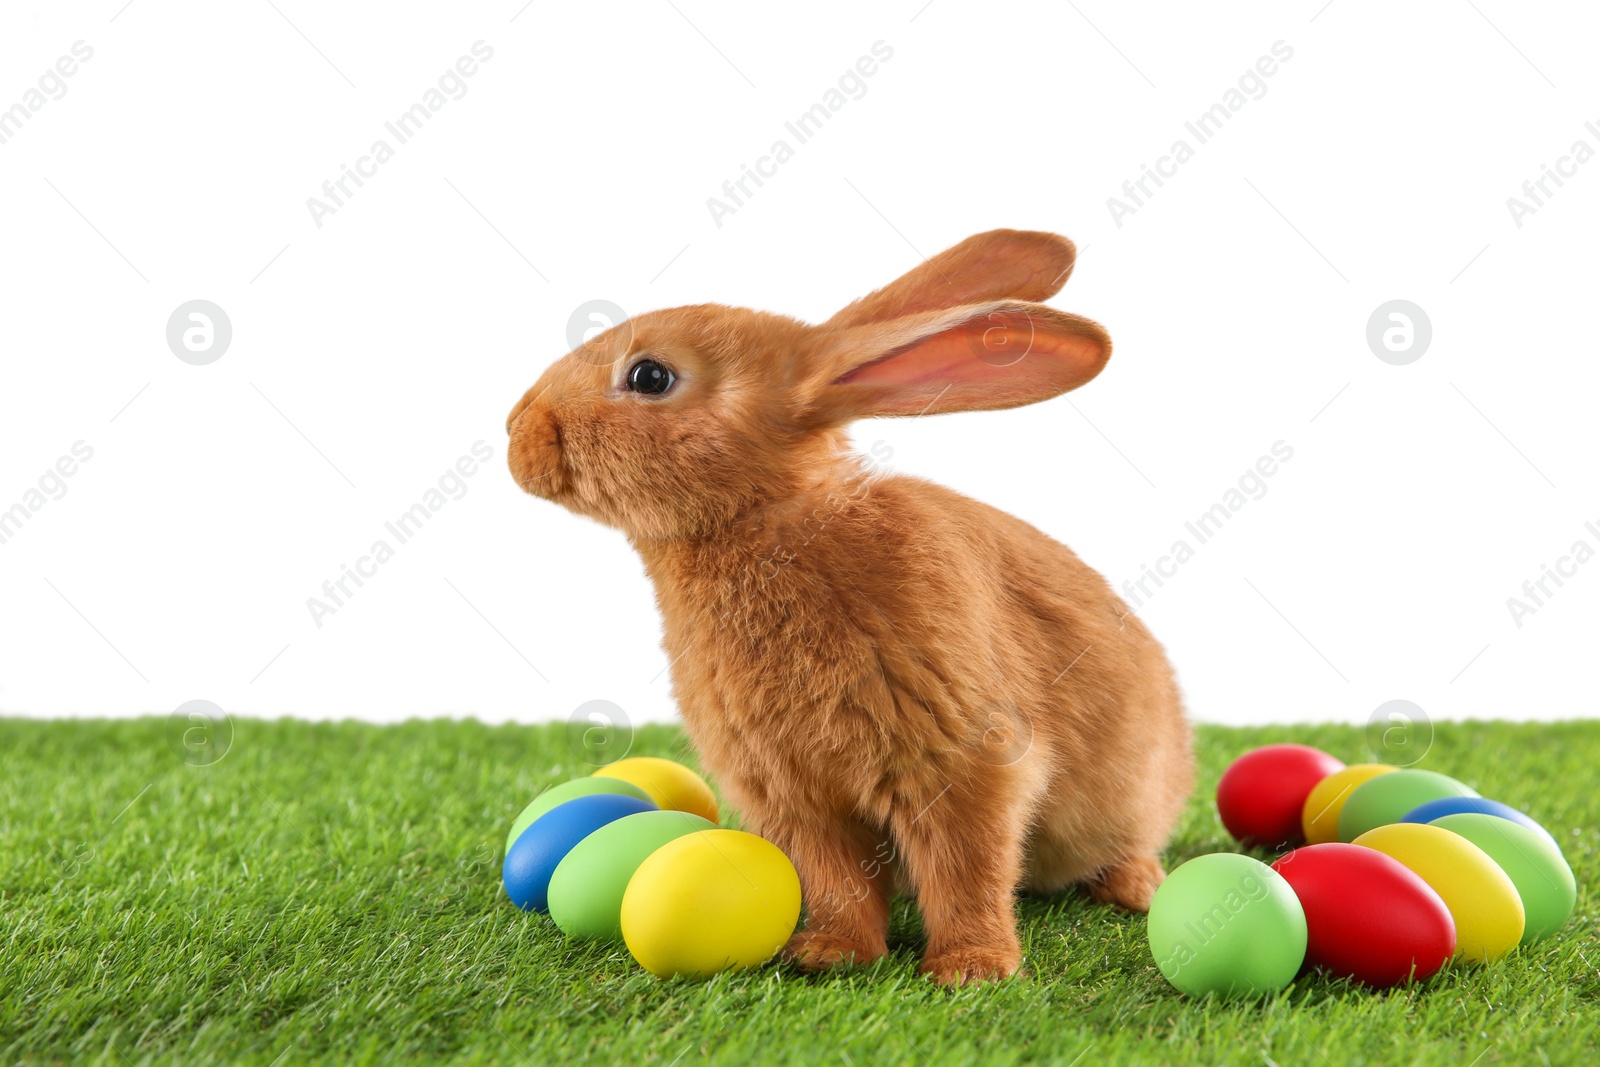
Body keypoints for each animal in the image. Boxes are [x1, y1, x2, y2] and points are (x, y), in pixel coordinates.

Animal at [505, 231, 1196, 985]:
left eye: (650, 376)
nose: (517, 431)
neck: (773, 525)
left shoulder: (961, 763)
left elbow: (966, 869)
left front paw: (972, 968)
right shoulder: (797, 795)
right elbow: (837, 878)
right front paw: (831, 952)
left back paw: (1134, 888)